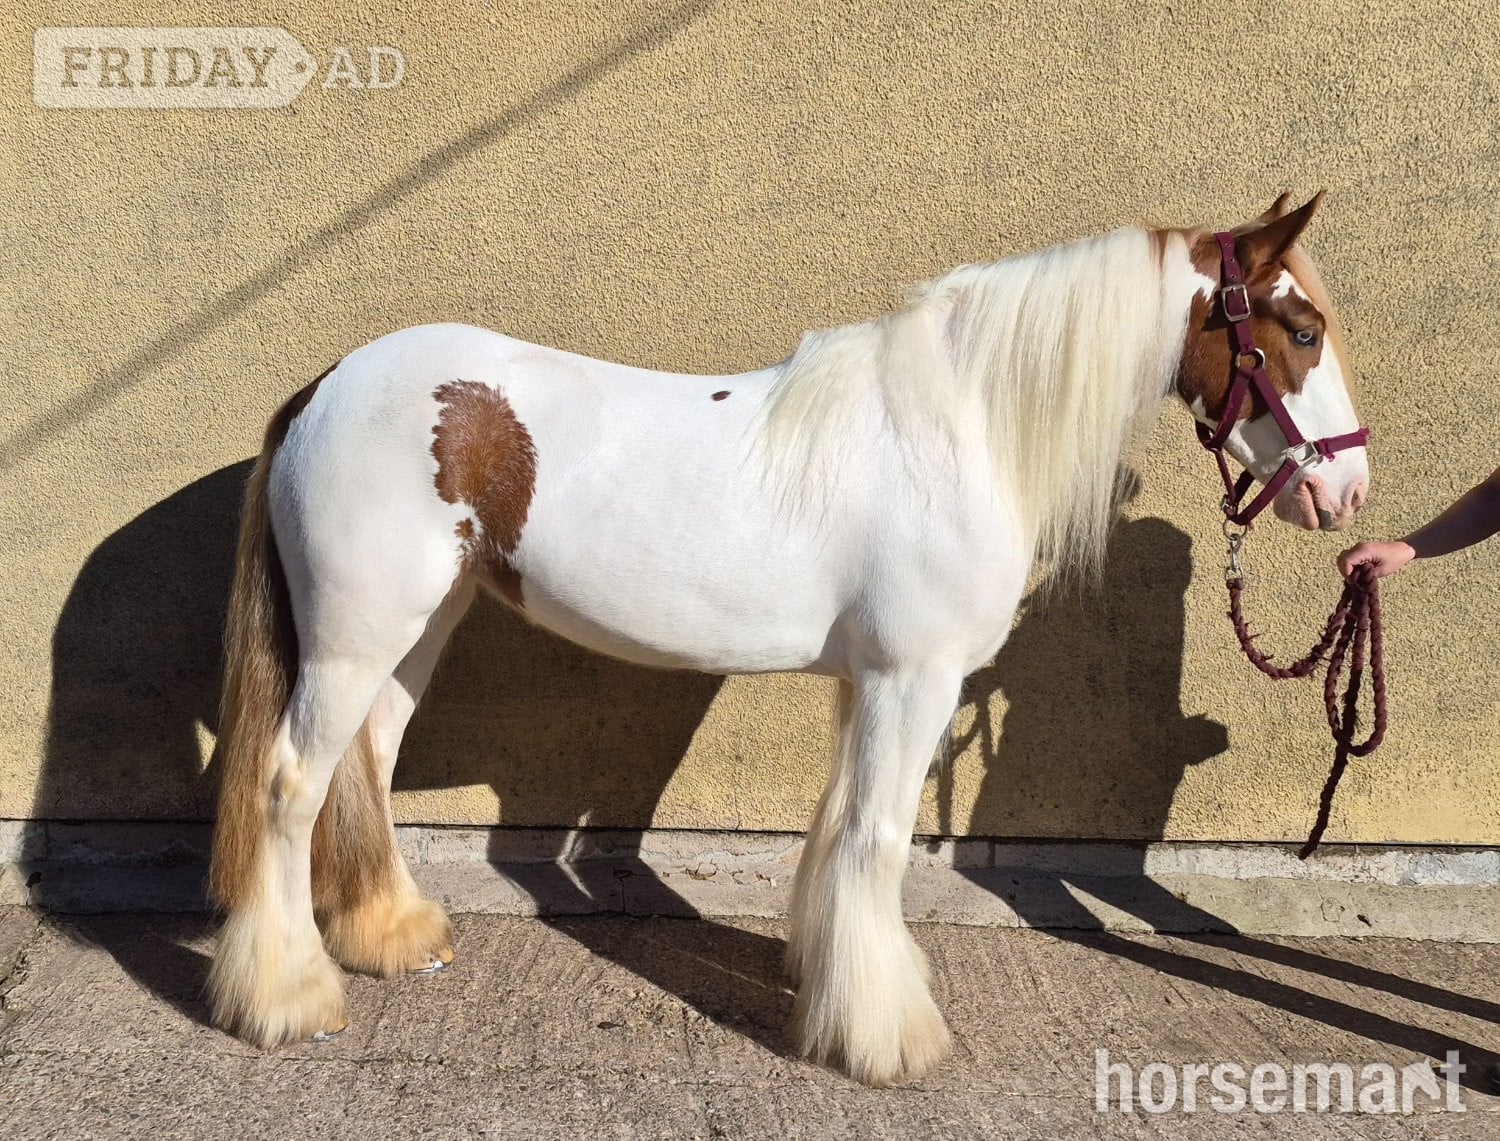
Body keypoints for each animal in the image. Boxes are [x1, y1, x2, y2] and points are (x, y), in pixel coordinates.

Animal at [206, 192, 1368, 1087]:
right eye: (1303, 328)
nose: (1347, 490)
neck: (958, 429)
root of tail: (323, 388)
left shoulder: (870, 680)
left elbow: (837, 827)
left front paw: (828, 984)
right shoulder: (913, 678)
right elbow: (877, 837)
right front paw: (887, 1037)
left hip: (416, 629)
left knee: (365, 765)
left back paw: (391, 938)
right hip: (357, 637)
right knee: (289, 784)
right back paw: (288, 998)